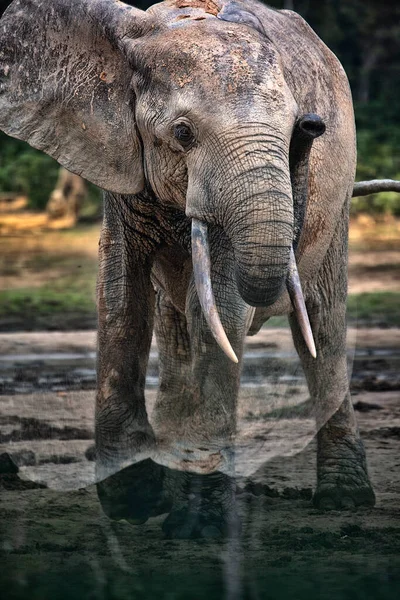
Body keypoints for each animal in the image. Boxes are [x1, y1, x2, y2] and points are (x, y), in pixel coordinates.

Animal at [0, 0, 376, 536]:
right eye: (182, 134)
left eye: (296, 131)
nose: (313, 125)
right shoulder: (122, 165)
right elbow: (120, 293)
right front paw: (137, 500)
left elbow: (218, 306)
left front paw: (196, 524)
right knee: (176, 327)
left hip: (339, 197)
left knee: (322, 325)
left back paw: (343, 500)